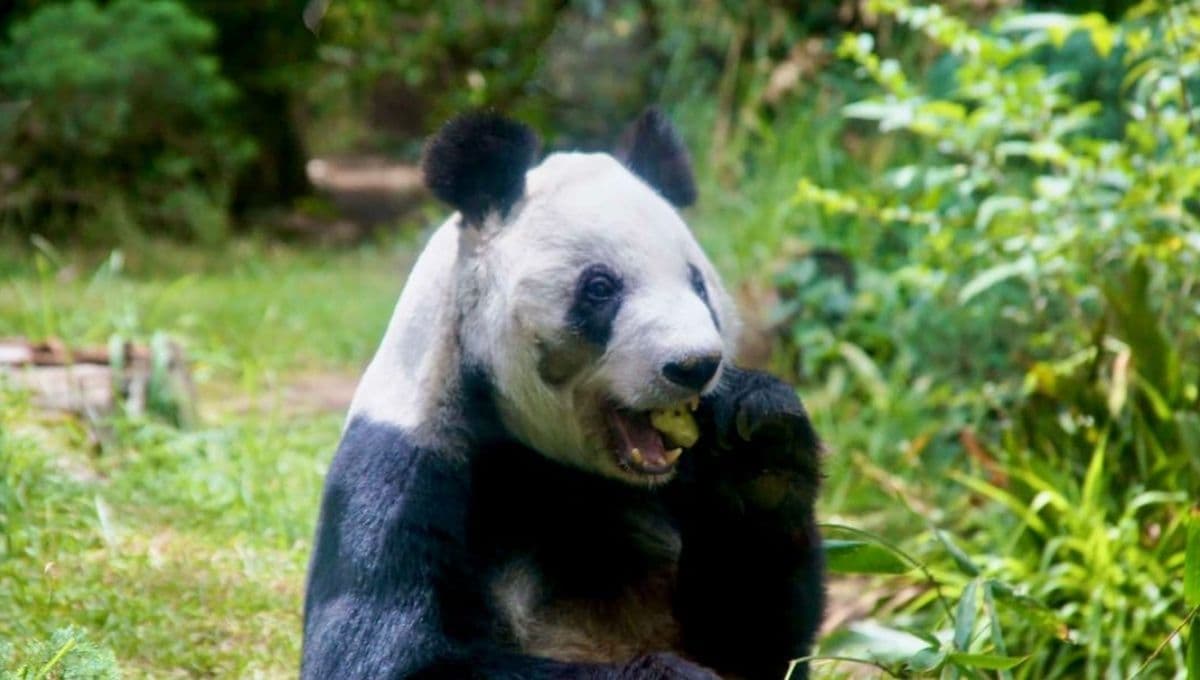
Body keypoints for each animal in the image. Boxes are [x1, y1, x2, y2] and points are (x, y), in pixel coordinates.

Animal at [301, 109, 825, 680]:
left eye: (698, 284)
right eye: (600, 288)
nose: (694, 365)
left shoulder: (681, 478)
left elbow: (752, 636)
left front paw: (760, 447)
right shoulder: (408, 462)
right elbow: (387, 654)